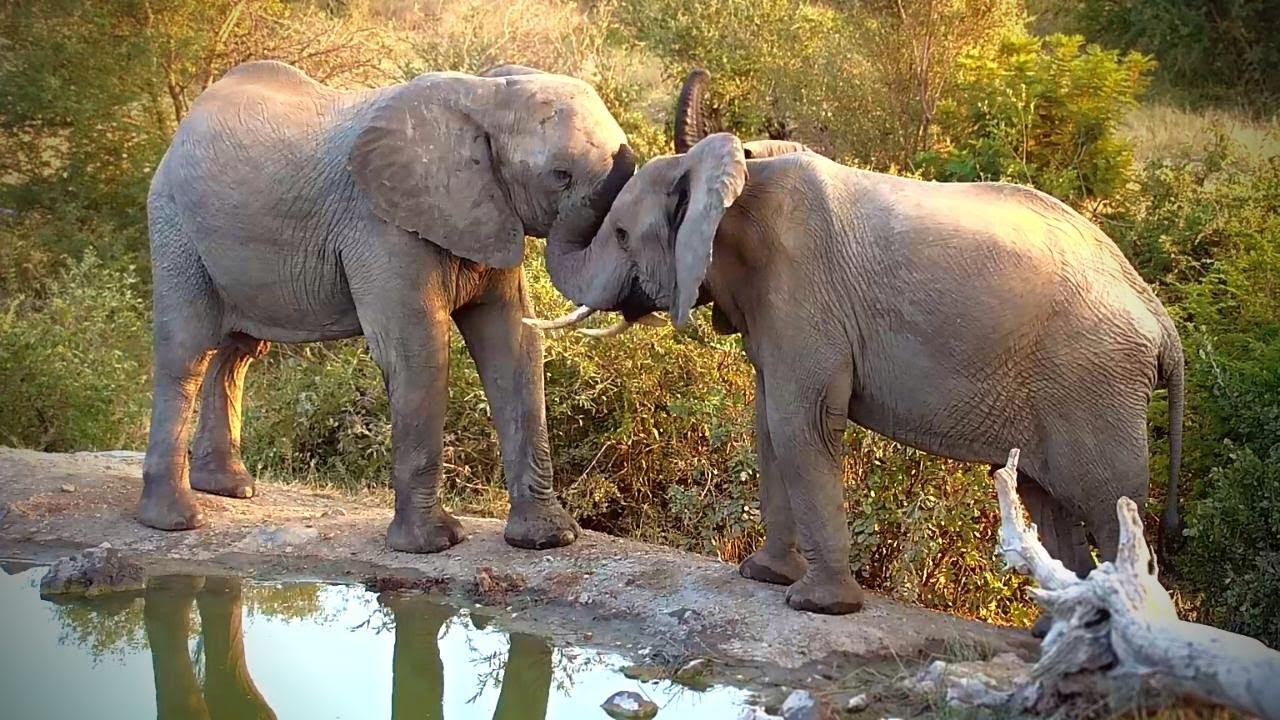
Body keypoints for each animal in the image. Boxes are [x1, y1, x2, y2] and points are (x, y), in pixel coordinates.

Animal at [139, 59, 636, 553]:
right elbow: (419, 351)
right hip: (174, 223)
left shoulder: (489, 214)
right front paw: (434, 544)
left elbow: (513, 348)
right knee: (187, 351)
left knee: (237, 352)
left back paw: (230, 487)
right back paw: (176, 520)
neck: (484, 97)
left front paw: (549, 539)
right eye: (560, 175)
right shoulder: (381, 224)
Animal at [531, 87, 1185, 615]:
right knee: (1050, 505)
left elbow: (801, 425)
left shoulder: (805, 293)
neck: (741, 181)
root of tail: (1164, 324)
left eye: (620, 235)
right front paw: (763, 576)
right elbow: (768, 425)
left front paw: (817, 607)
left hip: (1094, 385)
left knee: (1107, 508)